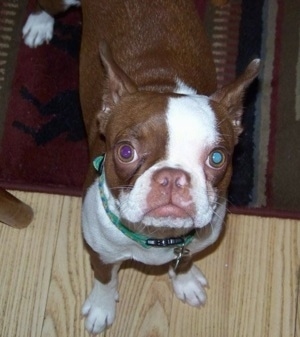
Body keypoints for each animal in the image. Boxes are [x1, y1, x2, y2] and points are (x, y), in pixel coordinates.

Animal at [23, 0, 258, 334]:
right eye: (126, 151)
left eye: (217, 158)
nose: (172, 177)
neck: (158, 236)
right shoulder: (101, 254)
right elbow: (105, 281)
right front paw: (101, 308)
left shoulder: (190, 245)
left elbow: (184, 262)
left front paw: (184, 282)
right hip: (58, 4)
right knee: (46, 7)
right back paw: (39, 24)